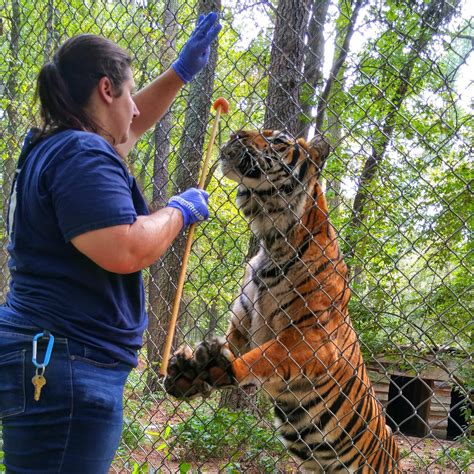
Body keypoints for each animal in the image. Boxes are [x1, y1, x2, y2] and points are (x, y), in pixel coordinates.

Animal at [164, 130, 400, 474]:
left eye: (278, 140)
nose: (235, 133)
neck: (273, 239)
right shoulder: (243, 328)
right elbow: (236, 353)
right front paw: (187, 373)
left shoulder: (310, 339)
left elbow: (263, 358)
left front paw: (210, 366)